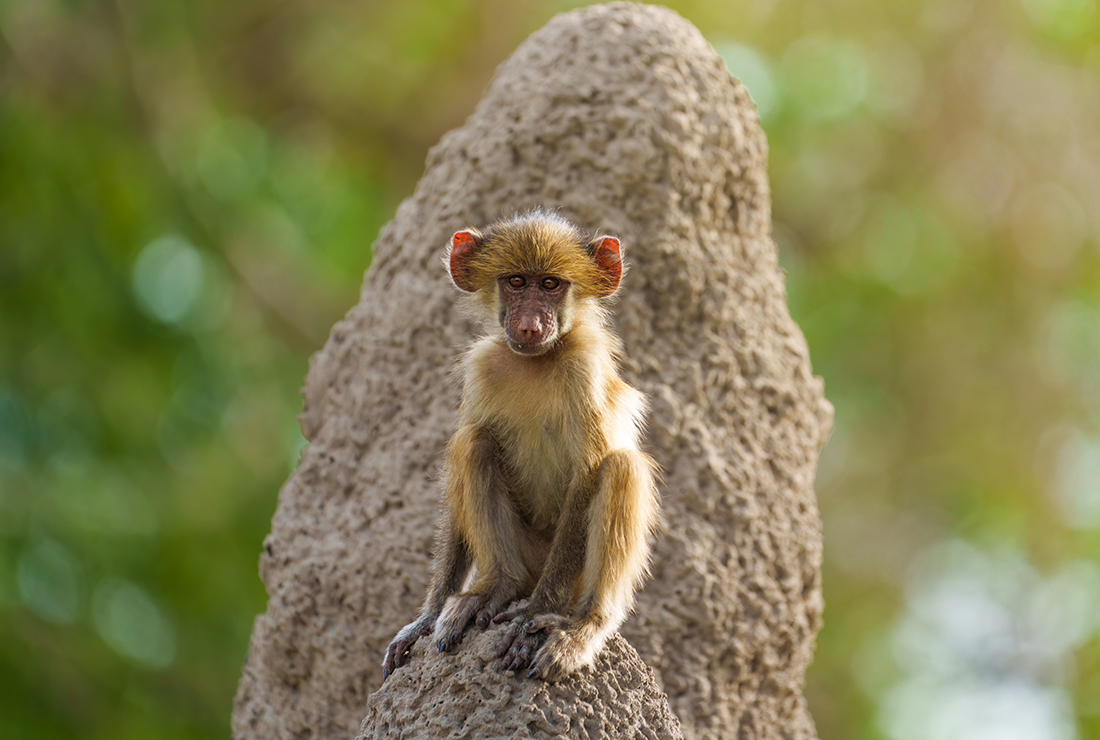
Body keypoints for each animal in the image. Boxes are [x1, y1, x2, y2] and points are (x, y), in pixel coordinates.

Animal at [381, 211, 660, 682]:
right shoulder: (482, 368)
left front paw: (533, 617)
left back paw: (581, 627)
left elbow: (588, 474)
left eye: (550, 284)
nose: (530, 324)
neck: (537, 362)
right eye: (515, 281)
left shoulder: (584, 366)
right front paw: (426, 618)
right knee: (474, 443)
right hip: (527, 555)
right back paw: (496, 586)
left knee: (620, 466)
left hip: (569, 577)